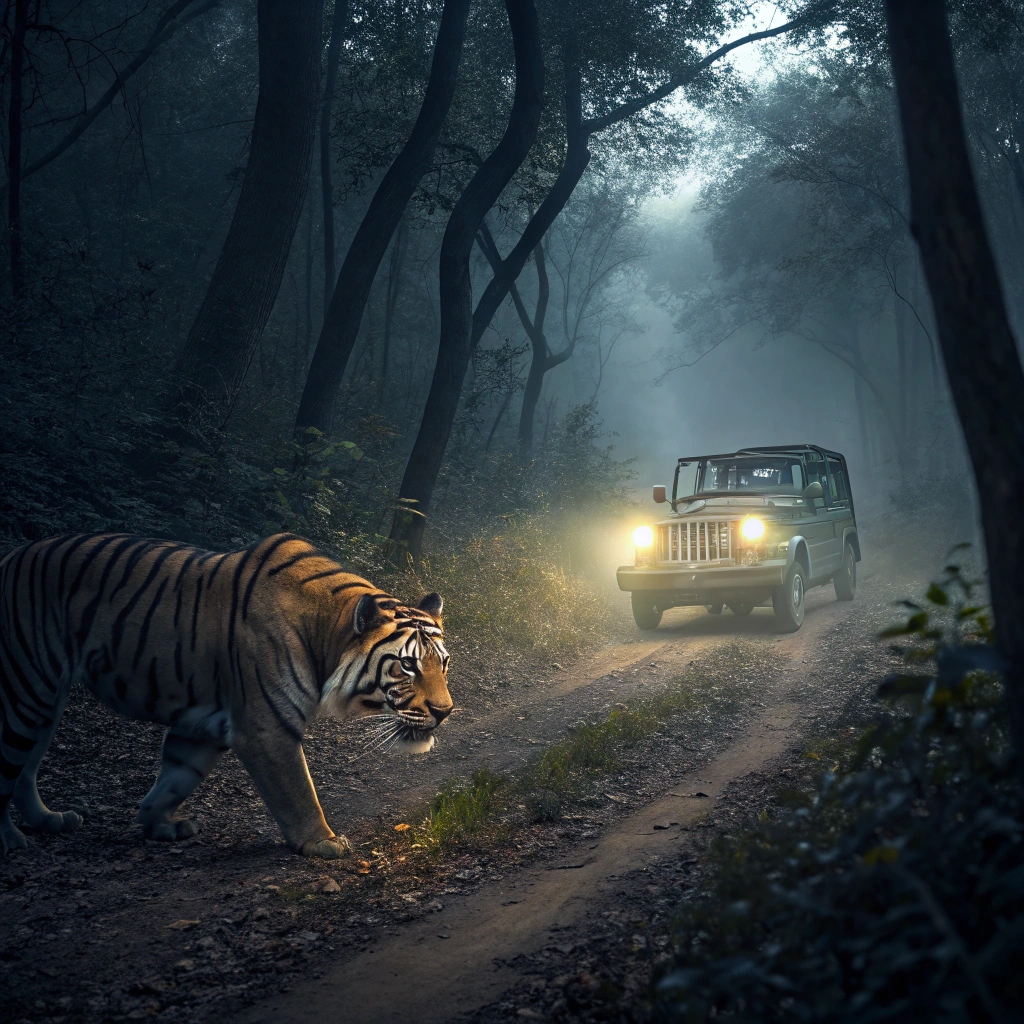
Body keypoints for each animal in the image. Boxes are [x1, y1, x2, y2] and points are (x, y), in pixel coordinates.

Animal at [0, 532, 452, 858]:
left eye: (443, 663)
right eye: (407, 666)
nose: (444, 711)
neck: (326, 635)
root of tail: (11, 555)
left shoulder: (205, 725)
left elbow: (175, 778)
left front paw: (159, 823)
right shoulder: (266, 729)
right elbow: (298, 789)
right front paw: (323, 842)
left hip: (48, 702)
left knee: (25, 770)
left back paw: (48, 821)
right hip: (26, 690)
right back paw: (11, 841)